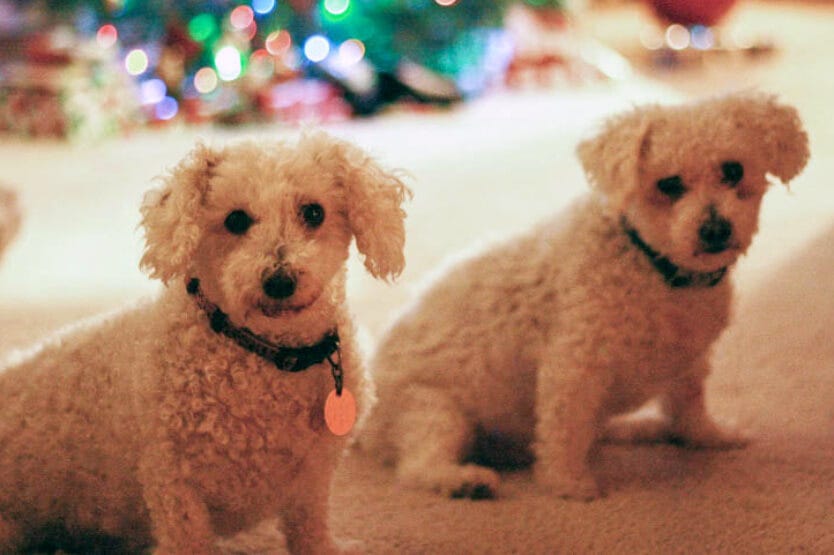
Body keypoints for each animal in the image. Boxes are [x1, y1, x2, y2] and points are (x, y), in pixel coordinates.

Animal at [0, 132, 410, 552]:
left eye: (314, 212)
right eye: (236, 220)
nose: (279, 281)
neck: (267, 354)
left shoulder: (311, 482)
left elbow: (311, 533)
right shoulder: (174, 485)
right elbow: (189, 538)